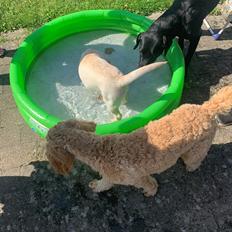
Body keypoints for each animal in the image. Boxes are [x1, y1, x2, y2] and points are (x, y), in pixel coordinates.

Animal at [45, 84, 232, 196]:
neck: (100, 150)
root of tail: (207, 108)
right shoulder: (111, 176)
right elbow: (104, 184)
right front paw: (95, 186)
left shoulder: (137, 178)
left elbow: (149, 184)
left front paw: (150, 192)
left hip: (197, 148)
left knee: (194, 160)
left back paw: (190, 167)